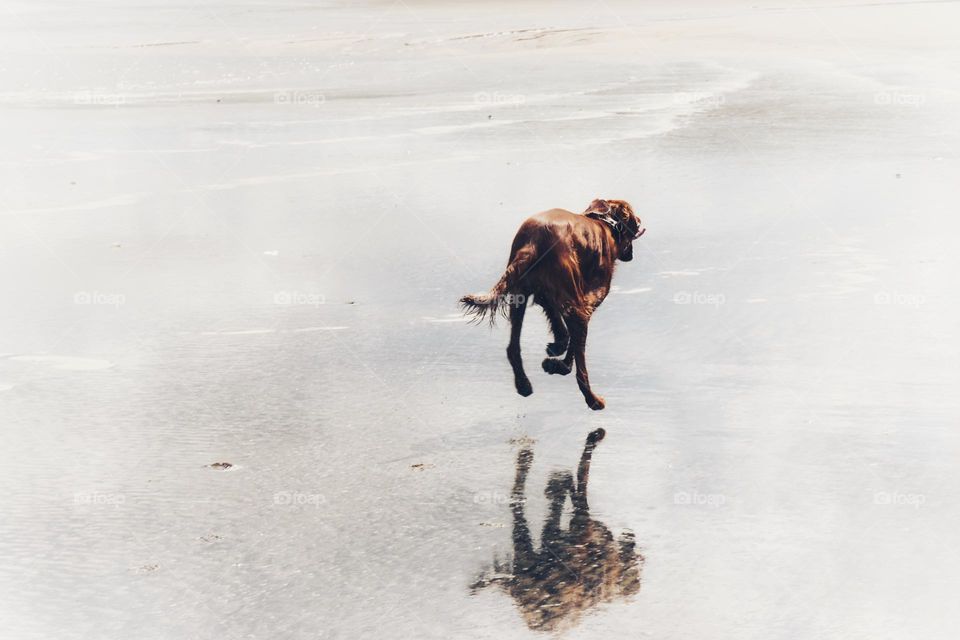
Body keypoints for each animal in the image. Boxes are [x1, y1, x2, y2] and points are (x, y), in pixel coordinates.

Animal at [460, 199, 640, 410]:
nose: (630, 254)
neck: (605, 222)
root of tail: (535, 241)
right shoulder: (587, 302)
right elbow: (573, 344)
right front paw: (559, 363)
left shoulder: (545, 294)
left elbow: (557, 320)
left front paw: (556, 348)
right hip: (571, 302)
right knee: (581, 372)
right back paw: (592, 399)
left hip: (519, 294)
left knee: (513, 348)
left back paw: (523, 384)